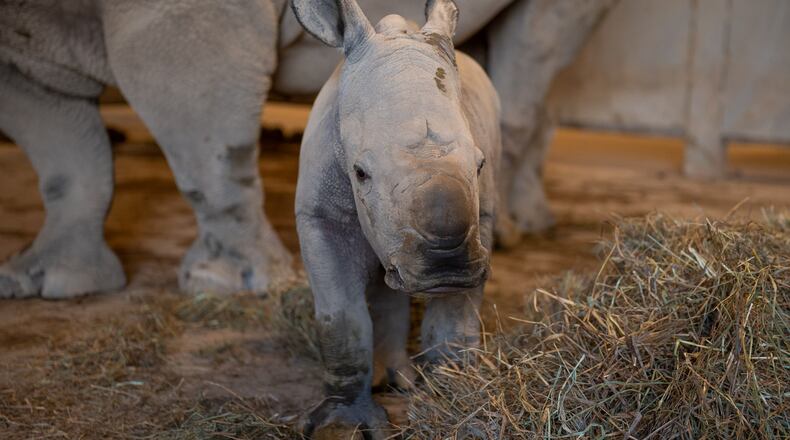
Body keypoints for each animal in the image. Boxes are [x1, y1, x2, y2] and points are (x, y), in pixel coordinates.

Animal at [0, 0, 614, 299]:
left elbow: (206, 141)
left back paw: (515, 231)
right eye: (360, 173)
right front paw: (52, 284)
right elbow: (65, 156)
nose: (446, 269)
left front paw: (223, 287)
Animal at [293, 0, 498, 436]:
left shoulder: (482, 219)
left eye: (480, 165)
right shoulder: (320, 216)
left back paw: (402, 382)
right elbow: (342, 317)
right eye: (359, 173)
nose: (446, 270)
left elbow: (454, 316)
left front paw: (451, 395)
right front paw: (342, 425)